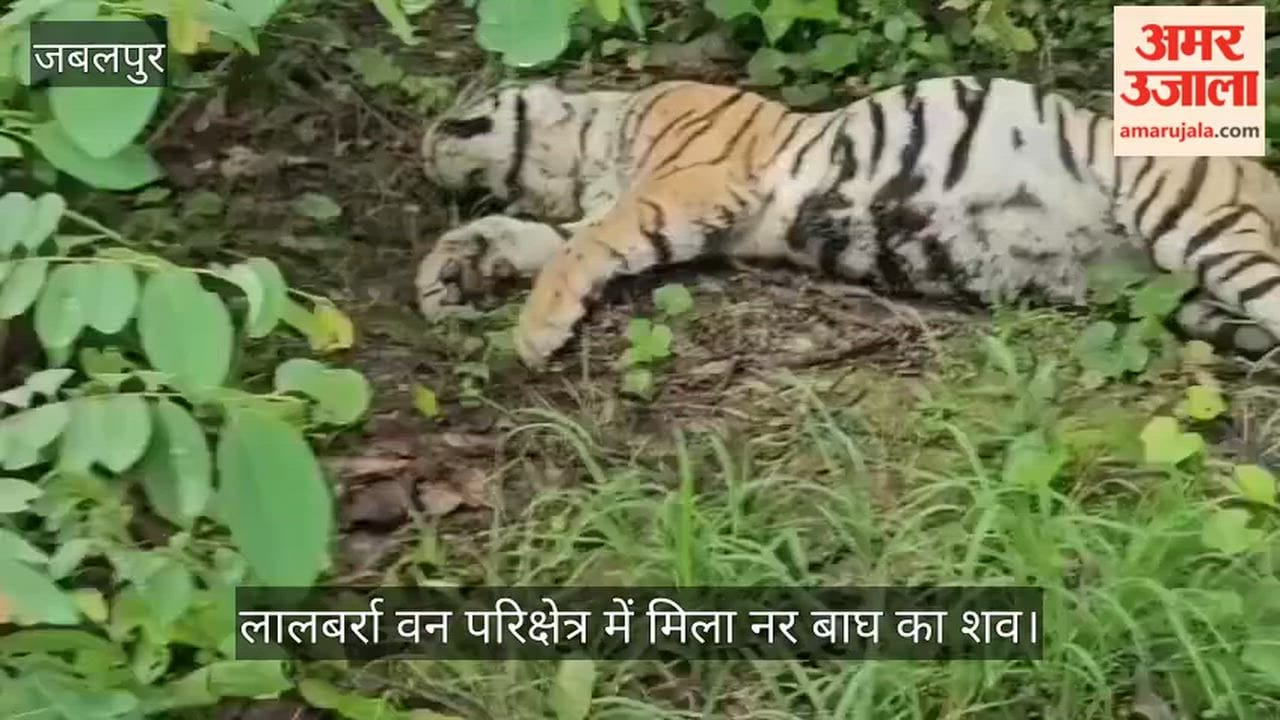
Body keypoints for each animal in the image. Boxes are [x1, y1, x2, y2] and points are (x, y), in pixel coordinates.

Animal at [414, 76, 1280, 369]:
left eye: (472, 101)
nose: (422, 140)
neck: (594, 145)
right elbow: (542, 242)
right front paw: (444, 277)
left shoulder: (686, 180)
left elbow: (583, 247)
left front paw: (533, 336)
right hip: (1187, 293)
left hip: (1192, 218)